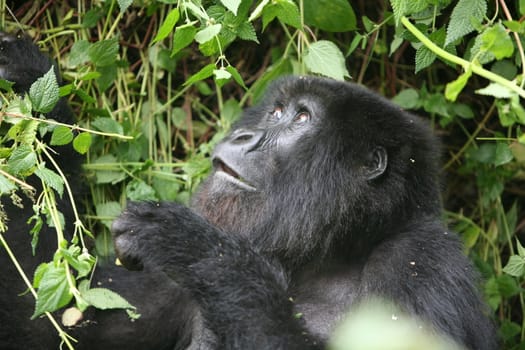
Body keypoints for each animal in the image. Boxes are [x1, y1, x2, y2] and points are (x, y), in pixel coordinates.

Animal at [0, 33, 496, 350]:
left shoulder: (422, 261)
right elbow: (52, 317)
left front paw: (196, 247)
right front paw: (26, 76)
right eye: (275, 111)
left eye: (300, 118)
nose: (243, 136)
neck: (328, 257)